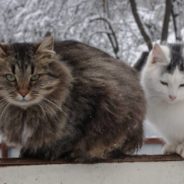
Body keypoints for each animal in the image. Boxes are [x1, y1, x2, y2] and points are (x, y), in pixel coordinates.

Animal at [0, 36, 145, 160]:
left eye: (35, 77)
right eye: (10, 77)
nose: (23, 93)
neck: (25, 113)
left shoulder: (86, 109)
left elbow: (68, 139)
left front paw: (51, 152)